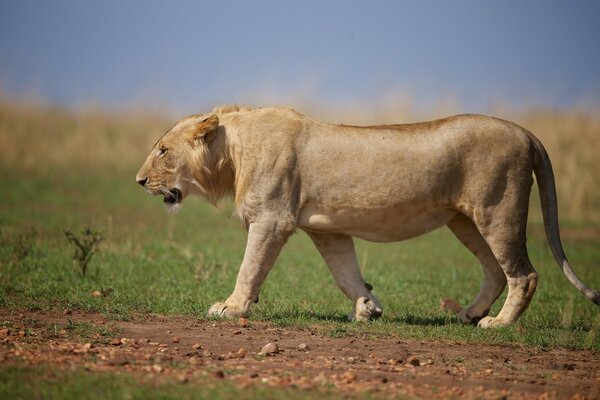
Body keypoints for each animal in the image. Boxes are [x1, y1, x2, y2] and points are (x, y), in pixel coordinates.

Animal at [136, 104, 600, 326]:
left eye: (162, 150)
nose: (139, 181)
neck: (231, 152)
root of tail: (527, 132)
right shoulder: (326, 229)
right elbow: (346, 273)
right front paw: (367, 307)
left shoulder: (272, 218)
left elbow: (249, 268)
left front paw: (230, 308)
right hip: (464, 220)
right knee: (495, 270)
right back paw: (469, 314)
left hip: (498, 210)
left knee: (524, 273)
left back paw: (498, 324)